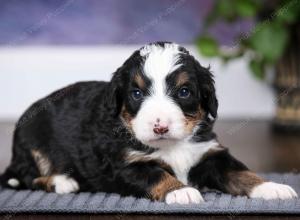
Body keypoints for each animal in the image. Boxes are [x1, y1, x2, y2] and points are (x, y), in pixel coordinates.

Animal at [0, 42, 298, 204]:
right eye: (136, 93)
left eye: (184, 92)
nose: (159, 127)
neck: (172, 145)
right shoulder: (126, 165)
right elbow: (157, 174)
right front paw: (181, 191)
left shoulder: (210, 155)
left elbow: (242, 172)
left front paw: (272, 187)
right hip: (32, 146)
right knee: (25, 177)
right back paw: (63, 182)